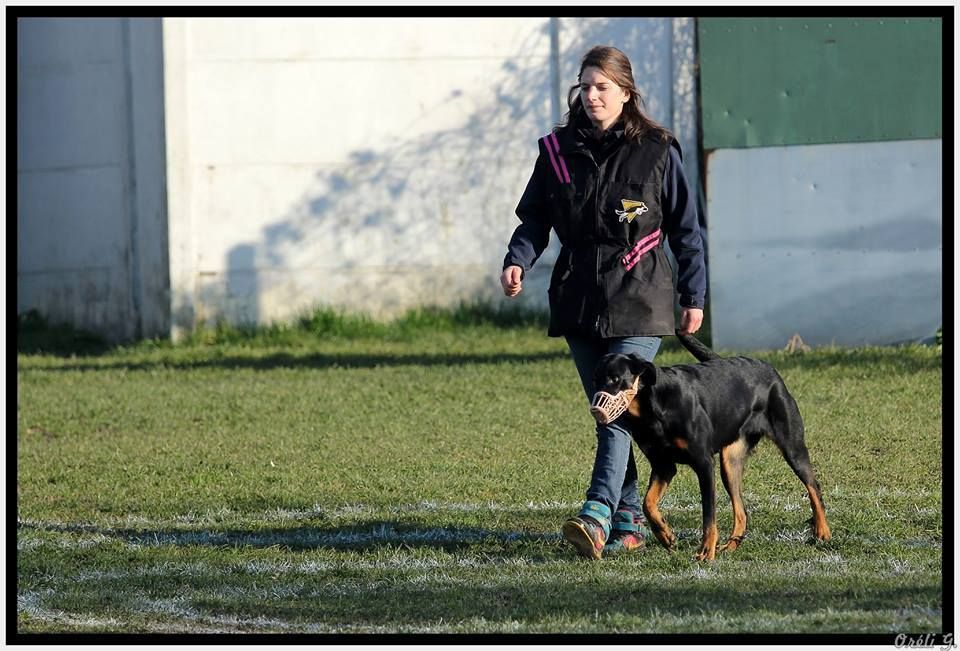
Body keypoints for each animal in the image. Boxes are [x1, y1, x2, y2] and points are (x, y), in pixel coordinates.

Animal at [588, 334, 828, 564]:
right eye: (595, 379)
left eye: (615, 379)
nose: (595, 407)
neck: (652, 408)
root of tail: (768, 367)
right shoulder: (663, 465)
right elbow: (648, 502)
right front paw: (665, 534)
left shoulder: (703, 464)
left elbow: (708, 514)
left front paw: (705, 551)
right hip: (730, 463)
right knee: (742, 512)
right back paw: (730, 546)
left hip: (791, 445)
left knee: (813, 486)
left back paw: (823, 531)